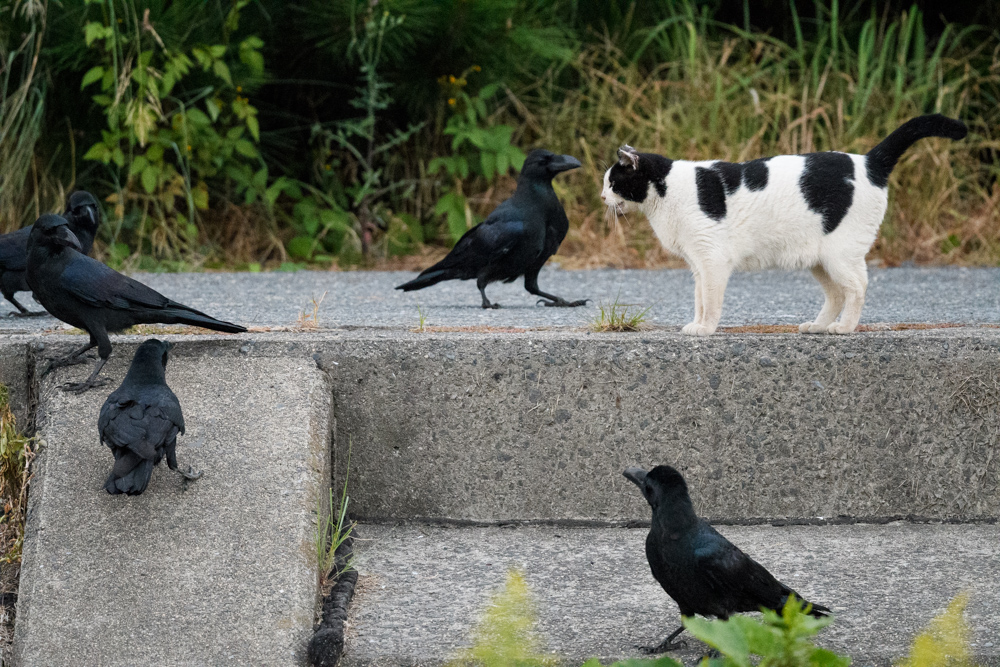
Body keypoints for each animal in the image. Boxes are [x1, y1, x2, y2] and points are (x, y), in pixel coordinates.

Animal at [600, 115, 968, 336]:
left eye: (613, 183)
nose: (602, 197)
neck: (668, 192)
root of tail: (867, 161)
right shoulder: (698, 264)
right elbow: (699, 298)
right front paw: (696, 323)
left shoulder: (712, 260)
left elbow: (711, 300)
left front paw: (705, 329)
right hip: (820, 260)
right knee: (836, 293)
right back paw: (817, 325)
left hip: (840, 254)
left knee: (858, 287)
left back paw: (844, 328)